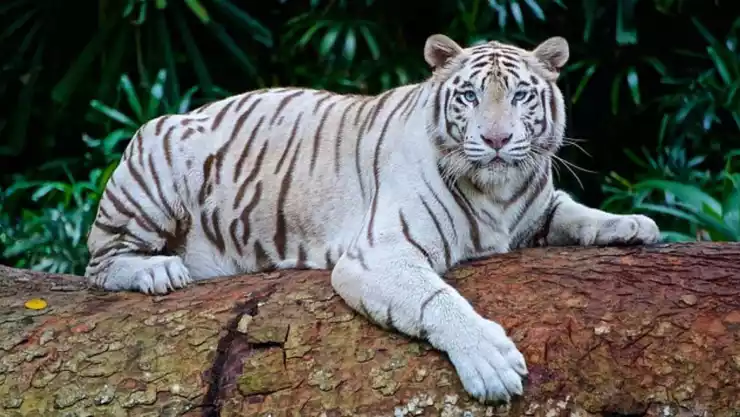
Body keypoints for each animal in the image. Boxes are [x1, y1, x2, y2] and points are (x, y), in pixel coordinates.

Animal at [84, 33, 661, 403]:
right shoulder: (381, 253)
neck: (498, 191)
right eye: (469, 95)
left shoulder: (536, 207)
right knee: (99, 264)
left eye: (520, 94)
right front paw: (491, 363)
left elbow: (575, 211)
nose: (496, 140)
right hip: (154, 166)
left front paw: (633, 223)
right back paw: (158, 270)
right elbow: (438, 299)